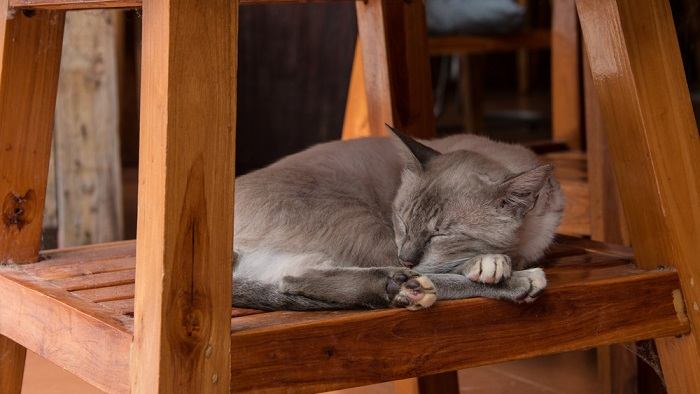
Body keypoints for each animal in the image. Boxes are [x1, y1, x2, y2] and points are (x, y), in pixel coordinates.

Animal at [232, 127, 568, 312]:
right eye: (403, 222)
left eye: (439, 235)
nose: (406, 258)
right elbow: (459, 265)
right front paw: (494, 264)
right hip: (362, 224)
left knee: (292, 280)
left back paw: (400, 289)